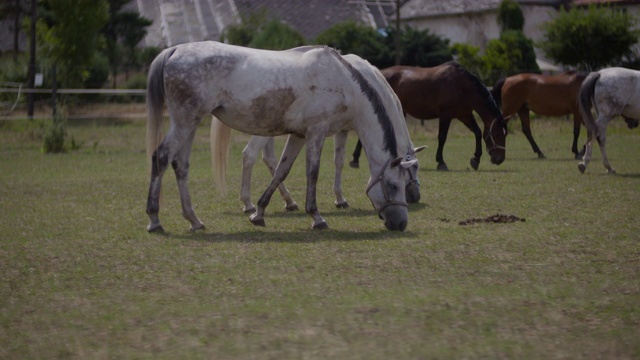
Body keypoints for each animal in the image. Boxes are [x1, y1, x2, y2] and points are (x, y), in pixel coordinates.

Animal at [350, 62, 504, 171]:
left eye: (505, 134)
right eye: (497, 134)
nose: (499, 159)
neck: (461, 86)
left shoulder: (464, 115)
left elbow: (478, 132)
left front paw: (475, 159)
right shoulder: (446, 115)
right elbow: (442, 137)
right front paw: (441, 162)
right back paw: (355, 160)